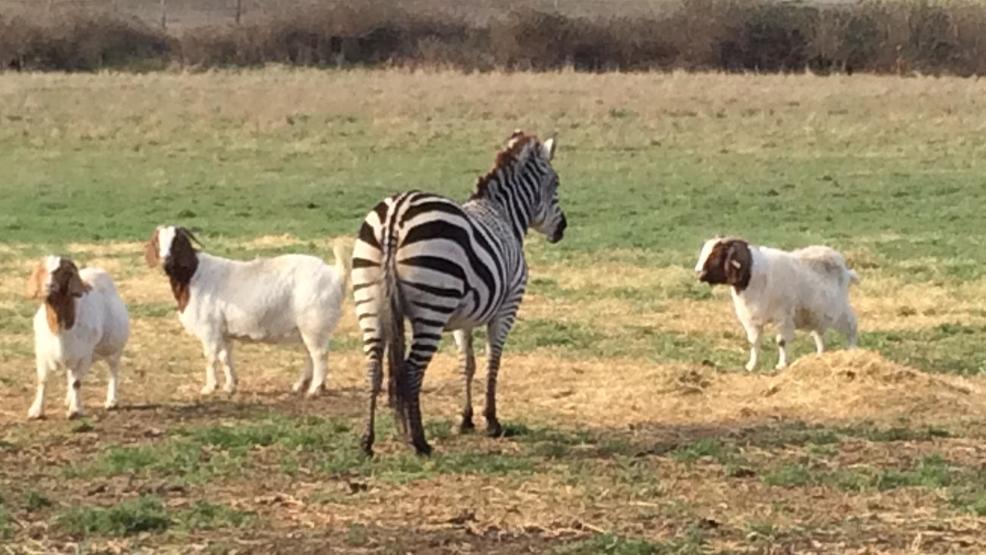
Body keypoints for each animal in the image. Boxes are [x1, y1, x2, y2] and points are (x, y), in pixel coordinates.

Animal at [26, 256, 129, 419]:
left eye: (64, 271)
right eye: (42, 270)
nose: (49, 285)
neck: (59, 328)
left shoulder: (83, 356)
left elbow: (77, 383)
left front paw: (75, 410)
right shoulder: (42, 355)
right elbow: (43, 381)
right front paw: (36, 410)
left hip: (113, 349)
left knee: (113, 371)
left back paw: (112, 401)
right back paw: (69, 399)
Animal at [144, 226, 350, 396]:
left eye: (177, 241)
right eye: (157, 241)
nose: (165, 260)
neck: (194, 276)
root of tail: (335, 274)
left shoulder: (209, 328)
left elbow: (210, 358)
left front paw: (209, 388)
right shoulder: (223, 331)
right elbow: (225, 357)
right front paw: (230, 386)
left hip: (314, 323)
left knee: (319, 355)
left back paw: (314, 389)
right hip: (309, 328)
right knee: (311, 354)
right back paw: (301, 385)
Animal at [351, 131, 567, 455]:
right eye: (555, 183)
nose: (562, 228)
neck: (504, 215)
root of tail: (395, 216)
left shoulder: (463, 317)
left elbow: (467, 364)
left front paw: (465, 419)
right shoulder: (508, 306)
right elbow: (493, 360)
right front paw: (491, 421)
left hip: (371, 300)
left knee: (374, 367)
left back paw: (368, 441)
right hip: (433, 307)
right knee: (411, 372)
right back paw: (419, 442)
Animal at [695, 237, 859, 371]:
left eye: (716, 254)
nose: (698, 273)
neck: (754, 276)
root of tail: (846, 270)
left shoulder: (783, 318)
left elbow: (782, 342)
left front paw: (781, 365)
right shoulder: (751, 320)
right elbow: (754, 343)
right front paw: (751, 366)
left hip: (841, 310)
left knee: (851, 327)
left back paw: (852, 352)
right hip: (817, 316)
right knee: (819, 335)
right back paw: (819, 356)